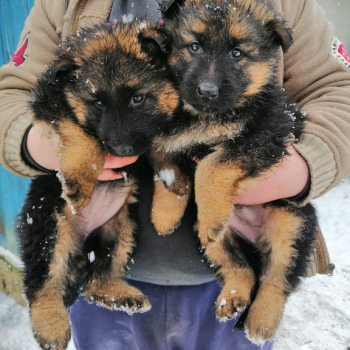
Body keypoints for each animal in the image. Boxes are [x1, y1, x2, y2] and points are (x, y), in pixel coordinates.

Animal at [16, 21, 178, 350]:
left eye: (137, 98)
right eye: (98, 102)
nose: (121, 149)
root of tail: (83, 241)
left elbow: (164, 150)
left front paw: (169, 203)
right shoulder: (52, 102)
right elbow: (80, 133)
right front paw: (80, 179)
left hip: (122, 228)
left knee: (96, 281)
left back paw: (120, 295)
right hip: (48, 222)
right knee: (43, 279)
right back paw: (51, 326)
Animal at [150, 0, 318, 344]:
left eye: (237, 53)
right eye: (195, 46)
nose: (207, 91)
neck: (202, 116)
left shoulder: (266, 134)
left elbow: (211, 166)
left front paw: (206, 207)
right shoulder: (167, 133)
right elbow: (167, 163)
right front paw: (165, 214)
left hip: (291, 222)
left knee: (276, 277)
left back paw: (261, 321)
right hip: (211, 241)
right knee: (243, 269)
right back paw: (233, 298)